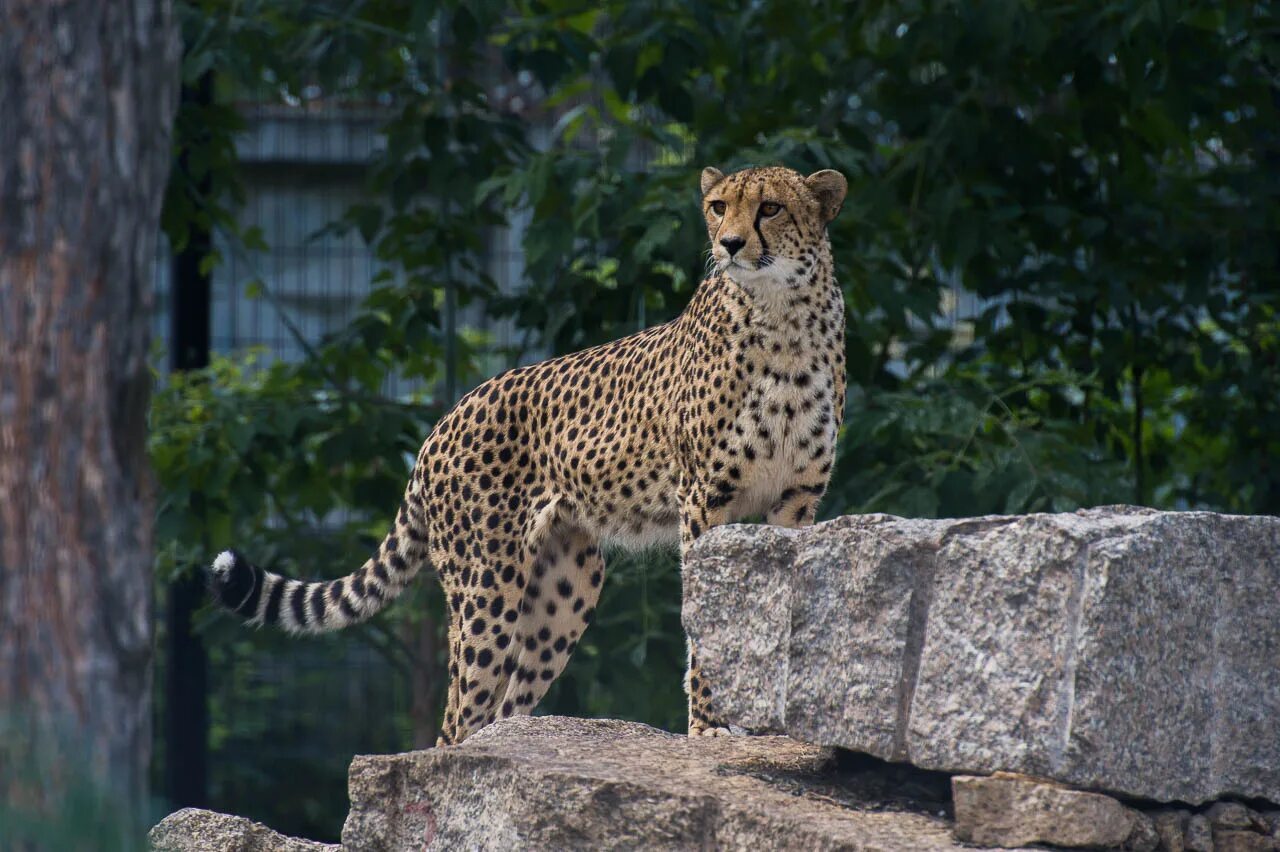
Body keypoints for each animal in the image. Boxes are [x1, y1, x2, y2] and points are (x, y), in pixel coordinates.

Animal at [212, 162, 849, 741]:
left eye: (770, 208)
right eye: (719, 206)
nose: (730, 244)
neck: (782, 316)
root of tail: (444, 419)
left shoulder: (796, 500)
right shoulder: (705, 501)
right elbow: (707, 625)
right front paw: (709, 729)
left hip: (565, 588)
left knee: (501, 710)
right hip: (486, 588)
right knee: (455, 724)